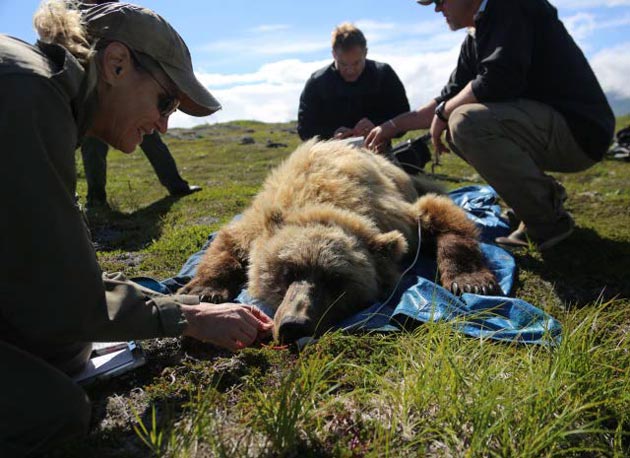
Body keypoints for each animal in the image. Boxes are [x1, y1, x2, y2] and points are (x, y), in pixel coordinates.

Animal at [180, 140, 502, 344]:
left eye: (336, 280)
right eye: (288, 271)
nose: (294, 325)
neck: (324, 200)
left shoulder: (398, 216)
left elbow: (441, 213)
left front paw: (472, 281)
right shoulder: (261, 217)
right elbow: (229, 239)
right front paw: (206, 290)